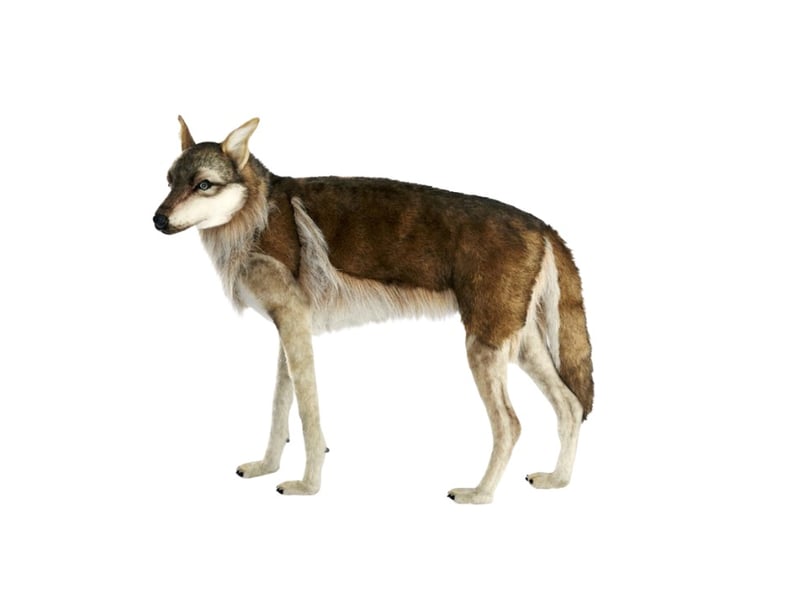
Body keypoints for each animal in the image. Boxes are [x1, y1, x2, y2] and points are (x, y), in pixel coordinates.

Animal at [153, 117, 593, 504]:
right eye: (170, 182)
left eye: (203, 184)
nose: (157, 219)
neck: (258, 214)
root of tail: (540, 225)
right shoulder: (289, 330)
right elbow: (280, 411)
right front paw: (267, 467)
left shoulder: (294, 327)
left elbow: (309, 419)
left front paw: (307, 486)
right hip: (520, 347)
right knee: (570, 406)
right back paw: (558, 480)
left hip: (484, 349)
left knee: (511, 425)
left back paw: (480, 494)